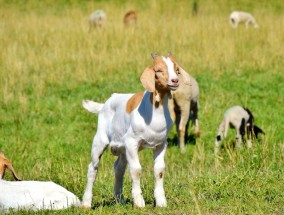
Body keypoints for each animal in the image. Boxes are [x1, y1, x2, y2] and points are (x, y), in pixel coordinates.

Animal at [80, 52, 191, 208]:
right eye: (158, 70)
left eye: (176, 69)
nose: (175, 81)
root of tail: (103, 105)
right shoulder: (132, 142)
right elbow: (136, 170)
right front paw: (139, 202)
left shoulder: (161, 144)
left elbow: (159, 170)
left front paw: (161, 202)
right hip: (100, 140)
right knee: (93, 168)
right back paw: (86, 203)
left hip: (122, 148)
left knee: (118, 168)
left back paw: (119, 199)